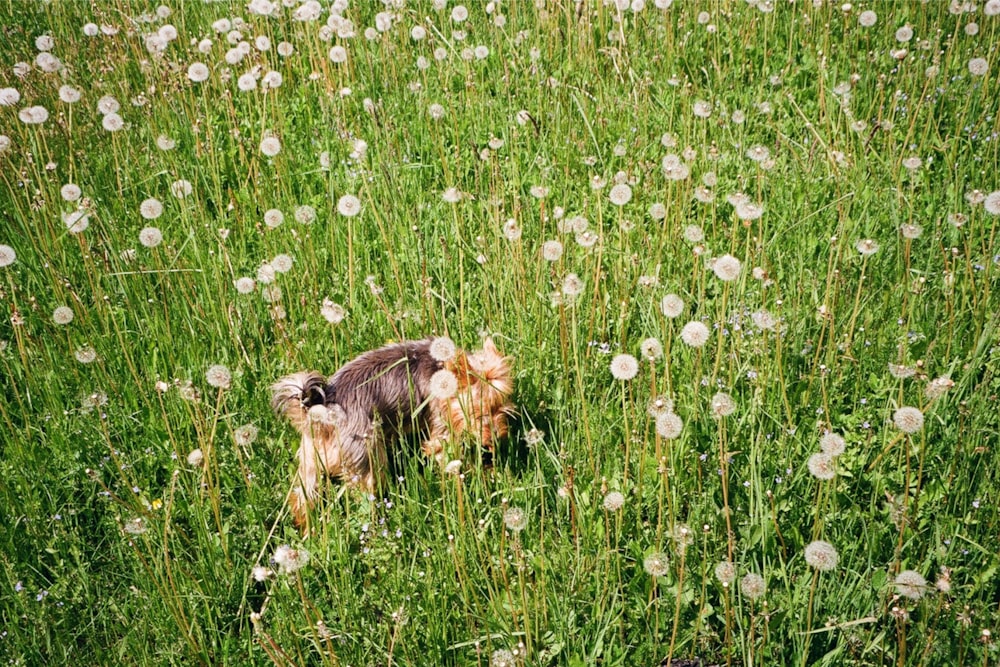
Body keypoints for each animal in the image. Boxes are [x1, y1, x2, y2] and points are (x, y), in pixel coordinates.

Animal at [270, 340, 512, 532]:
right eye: (477, 412)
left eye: (501, 407)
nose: (496, 437)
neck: (443, 371)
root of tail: (323, 411)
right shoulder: (441, 429)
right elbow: (451, 457)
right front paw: (483, 475)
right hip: (367, 459)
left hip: (310, 460)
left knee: (302, 497)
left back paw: (307, 530)